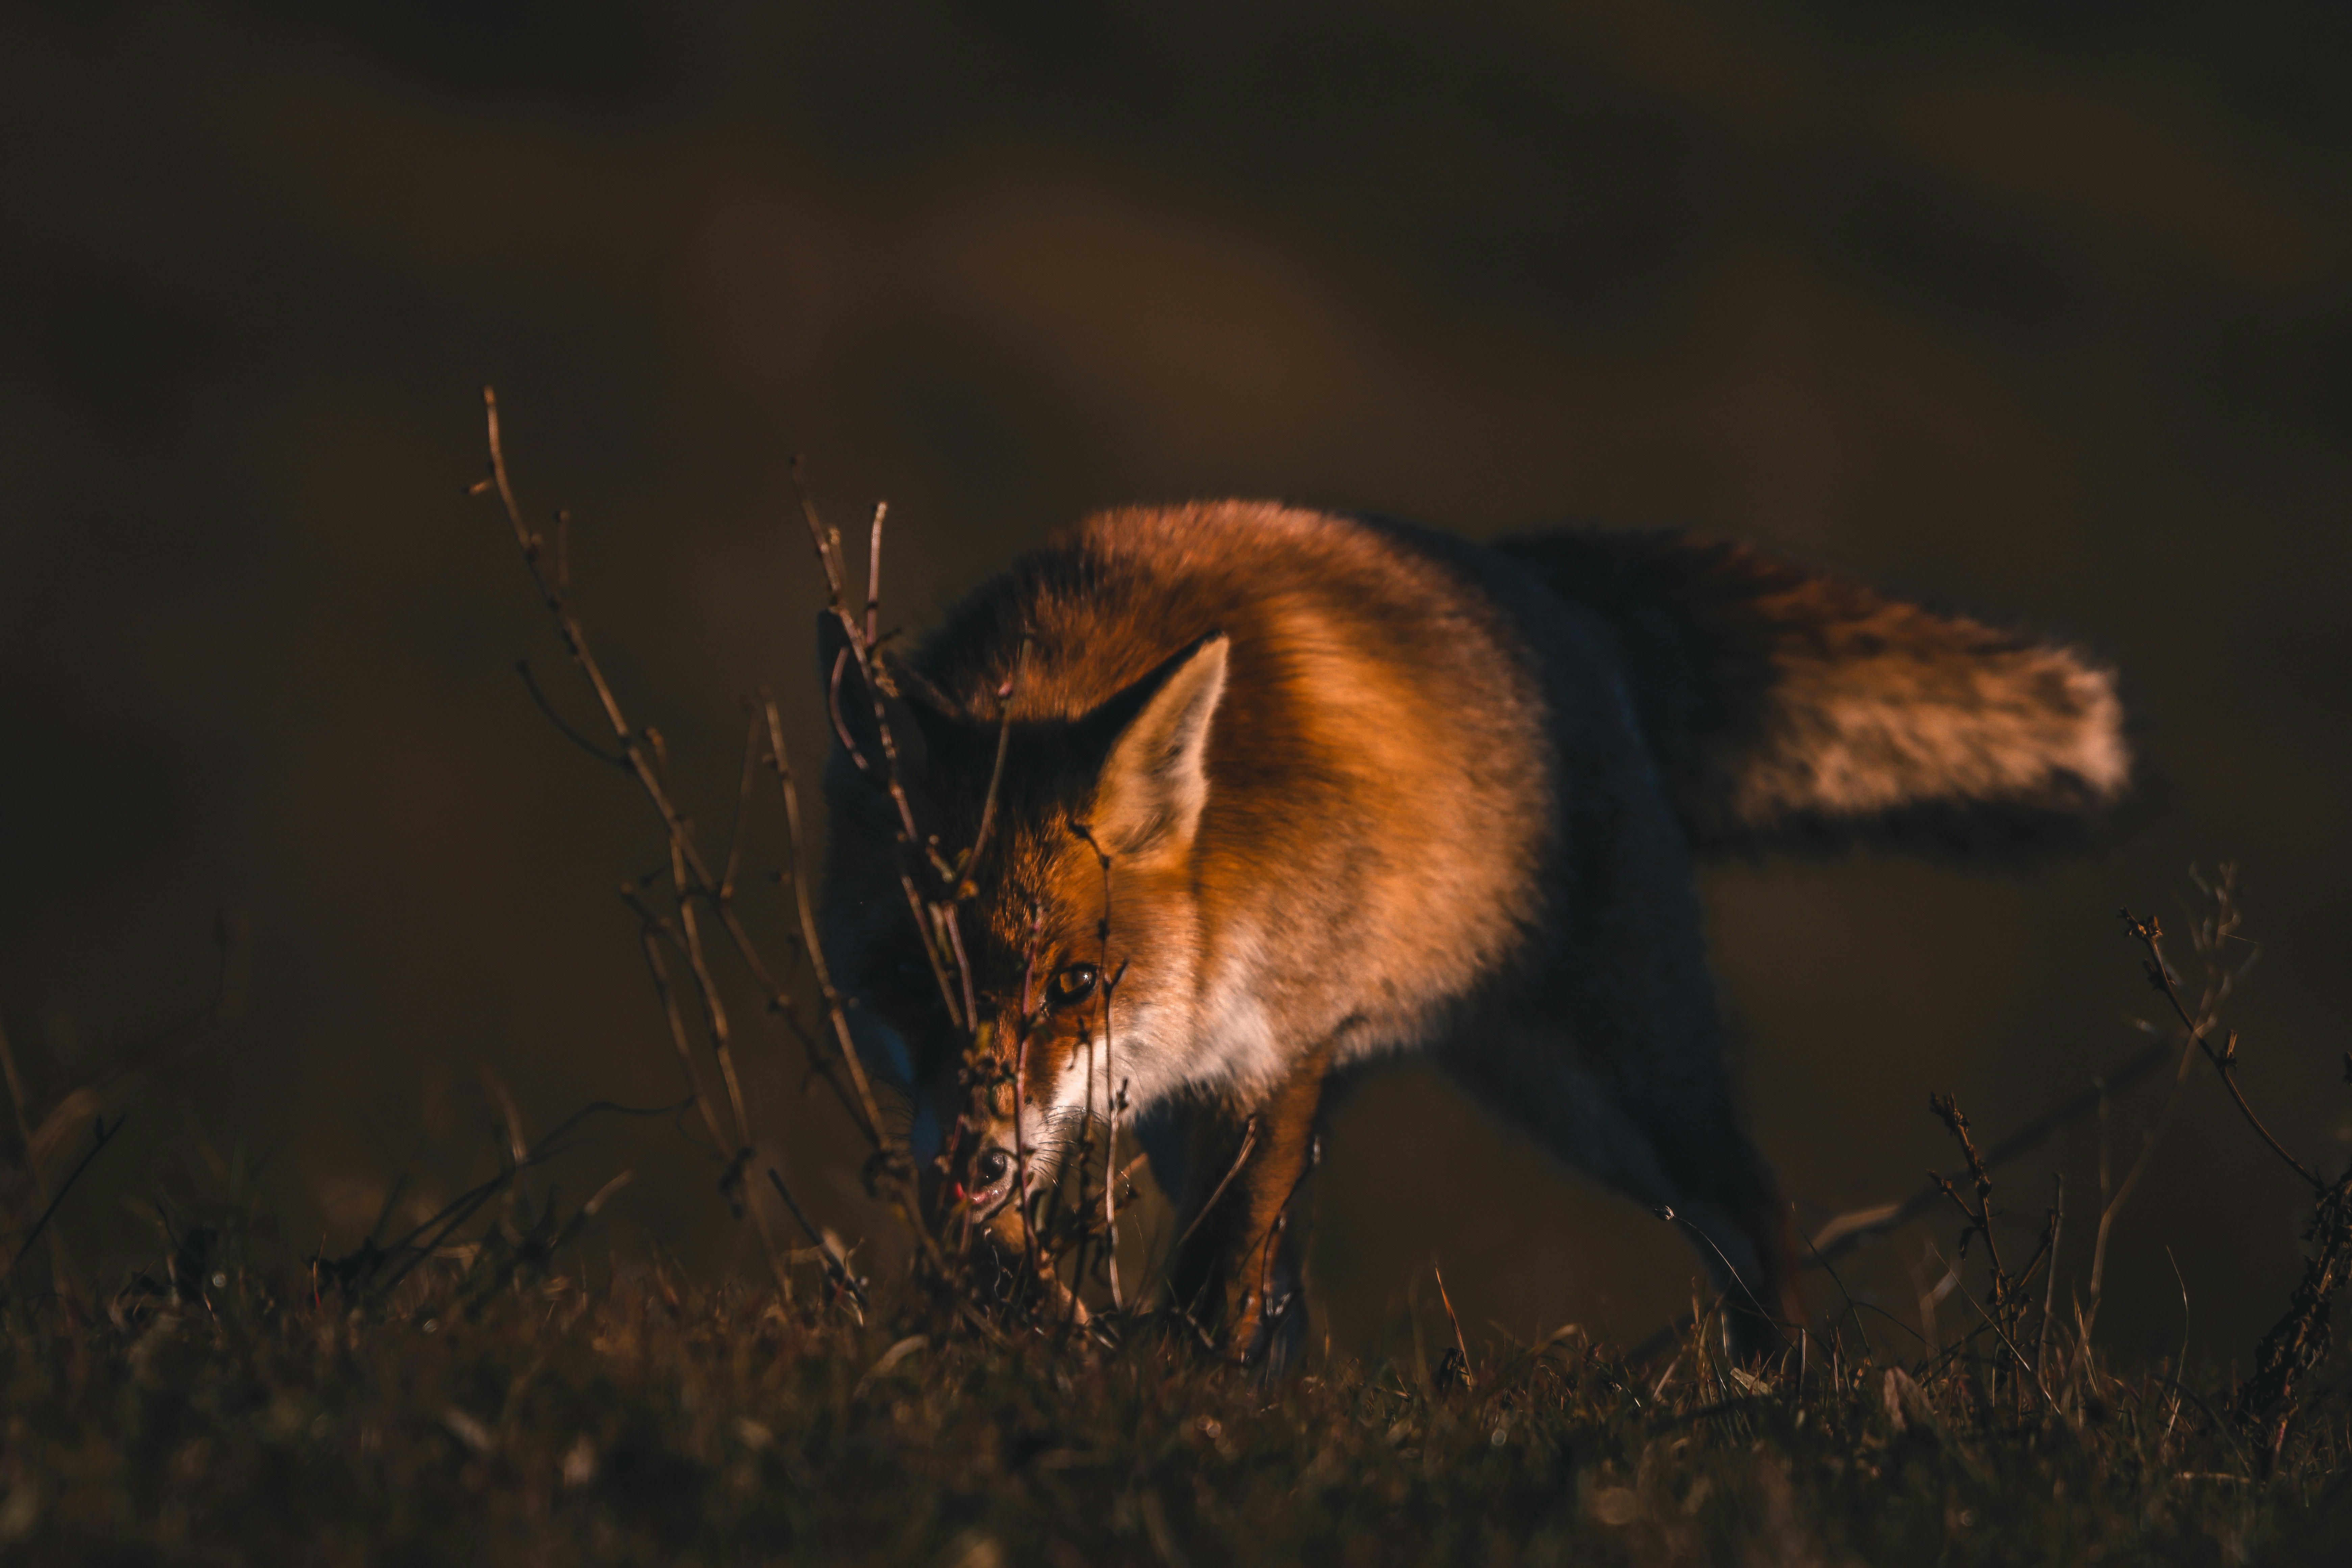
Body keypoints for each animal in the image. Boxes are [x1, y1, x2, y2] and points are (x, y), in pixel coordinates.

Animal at [817, 501, 2129, 1364]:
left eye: (1075, 981)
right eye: (908, 975)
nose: (975, 1158)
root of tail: (1511, 570)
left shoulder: (1274, 1047)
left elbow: (1213, 1276)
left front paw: (1174, 1400)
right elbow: (1033, 1255)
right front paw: (1060, 1340)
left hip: (1615, 1086)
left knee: (1757, 1214)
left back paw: (1776, 1403)